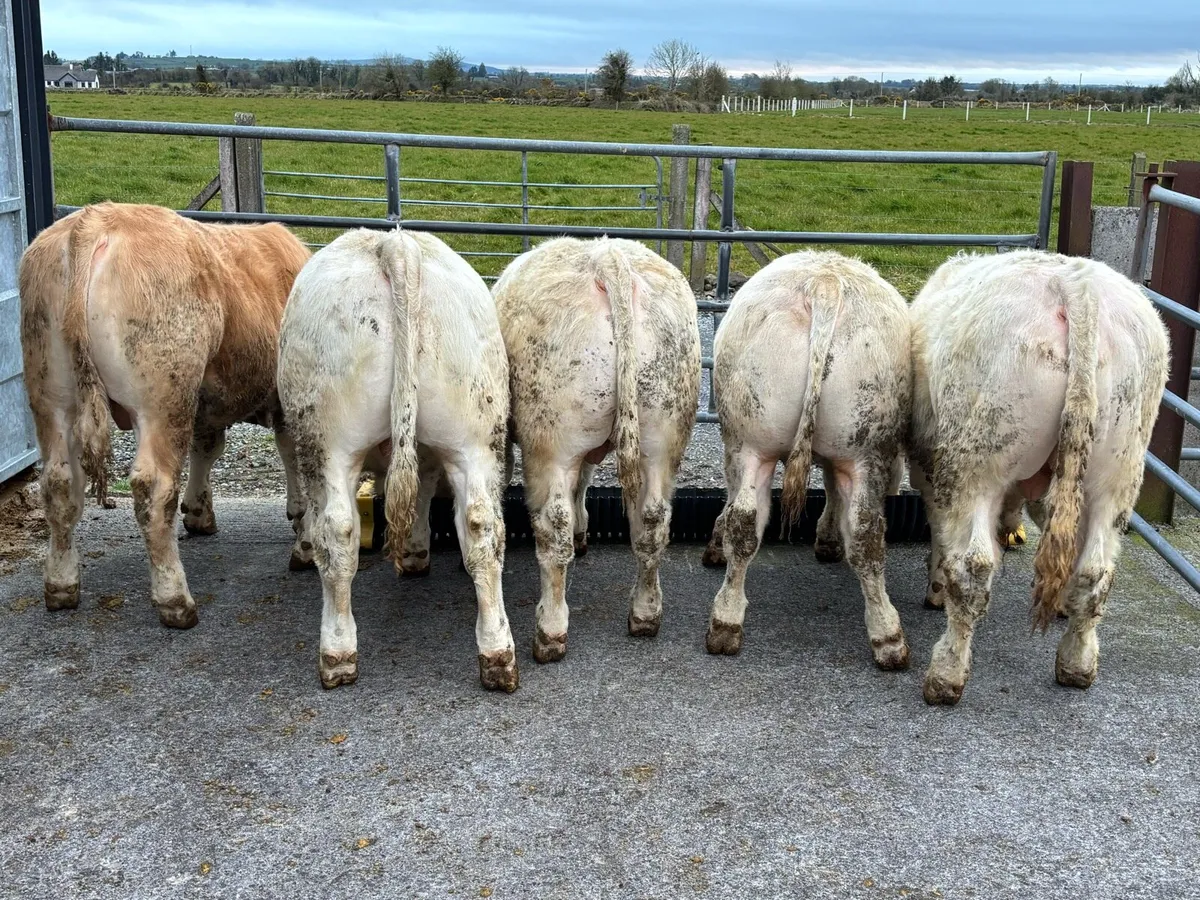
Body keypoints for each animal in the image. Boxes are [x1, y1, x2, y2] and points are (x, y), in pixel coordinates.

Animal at [19, 203, 310, 628]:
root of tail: (95, 220)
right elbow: (293, 458)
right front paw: (302, 527)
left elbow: (207, 447)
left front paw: (200, 513)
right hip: (163, 399)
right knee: (154, 489)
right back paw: (175, 600)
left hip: (51, 395)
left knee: (59, 482)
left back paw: (60, 586)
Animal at [278, 228, 516, 692]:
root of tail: (395, 245)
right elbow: (421, 488)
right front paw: (416, 552)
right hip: (473, 438)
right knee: (482, 527)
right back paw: (498, 654)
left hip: (330, 443)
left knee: (337, 531)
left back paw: (337, 652)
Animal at [492, 237, 700, 662]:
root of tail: (607, 259)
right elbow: (586, 482)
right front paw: (583, 530)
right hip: (663, 436)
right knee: (653, 521)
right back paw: (645, 614)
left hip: (552, 442)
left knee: (553, 527)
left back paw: (550, 630)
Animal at [701, 250, 912, 670]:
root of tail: (824, 284)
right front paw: (828, 538)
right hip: (859, 447)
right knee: (865, 532)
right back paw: (887, 633)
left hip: (753, 439)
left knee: (745, 521)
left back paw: (726, 622)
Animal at [910, 250, 1169, 705]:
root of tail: (1075, 287)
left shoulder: (930, 464)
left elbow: (941, 533)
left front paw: (935, 588)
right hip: (1118, 469)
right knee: (1094, 571)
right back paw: (1077, 664)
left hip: (976, 458)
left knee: (974, 569)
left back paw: (945, 675)